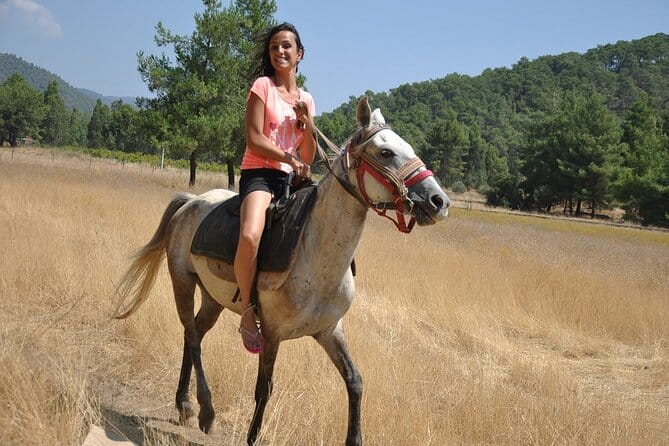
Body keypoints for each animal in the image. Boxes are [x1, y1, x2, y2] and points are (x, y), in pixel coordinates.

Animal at [113, 96, 450, 446]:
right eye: (386, 152)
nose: (439, 201)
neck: (317, 258)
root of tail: (192, 202)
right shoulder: (271, 334)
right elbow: (264, 389)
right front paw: (251, 436)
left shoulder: (330, 330)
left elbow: (355, 381)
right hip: (181, 280)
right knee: (192, 335)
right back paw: (203, 409)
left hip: (213, 298)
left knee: (194, 332)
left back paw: (184, 405)